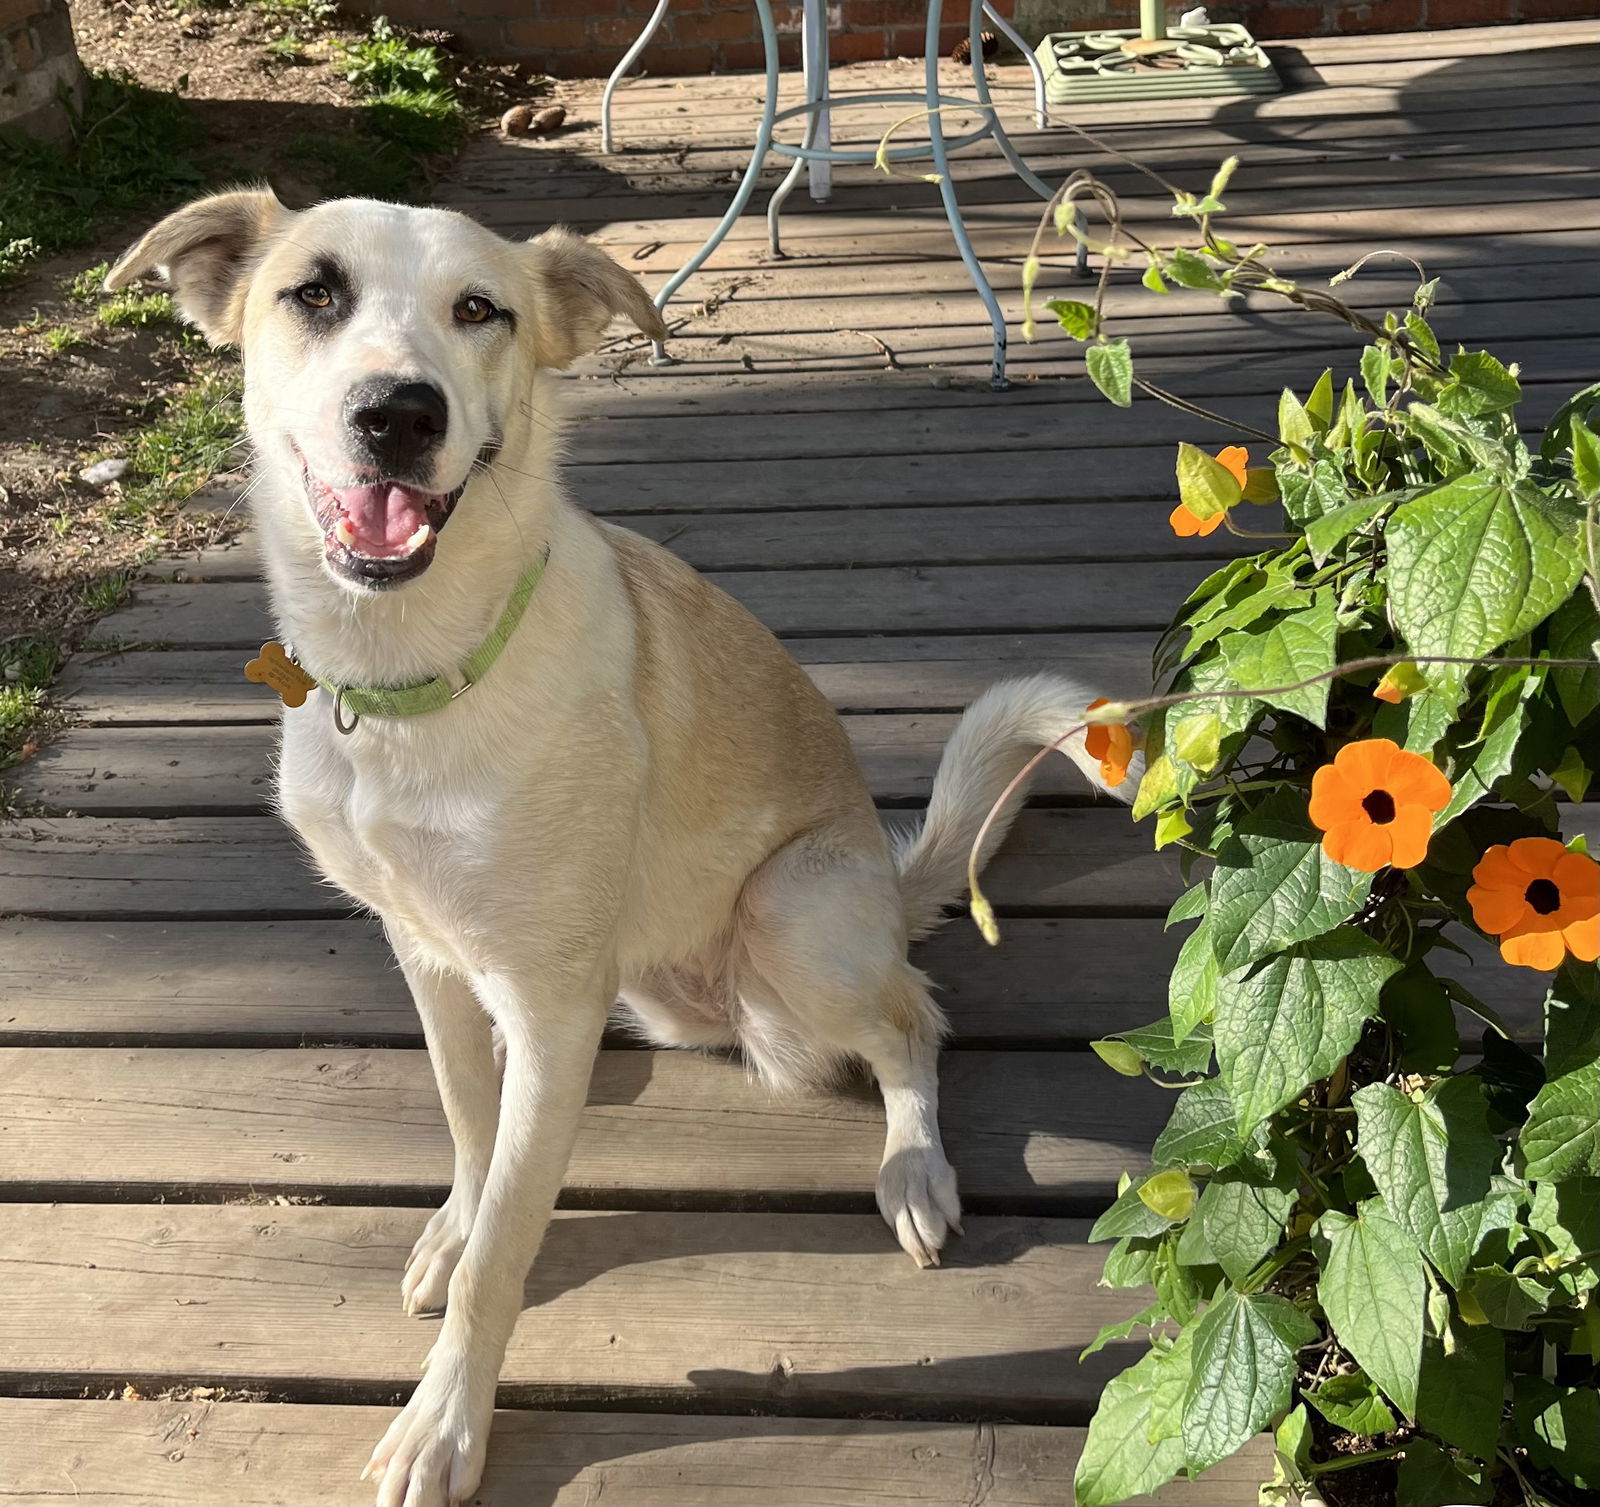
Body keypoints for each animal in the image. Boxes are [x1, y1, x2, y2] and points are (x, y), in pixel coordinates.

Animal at [106, 194, 1132, 1507]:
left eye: (479, 309)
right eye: (313, 293)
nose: (398, 414)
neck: (410, 676)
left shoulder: (549, 999)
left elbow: (500, 1255)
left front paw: (445, 1423)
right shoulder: (429, 956)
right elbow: (470, 1131)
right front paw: (459, 1208)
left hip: (790, 921)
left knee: (915, 1018)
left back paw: (912, 1165)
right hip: (656, 990)